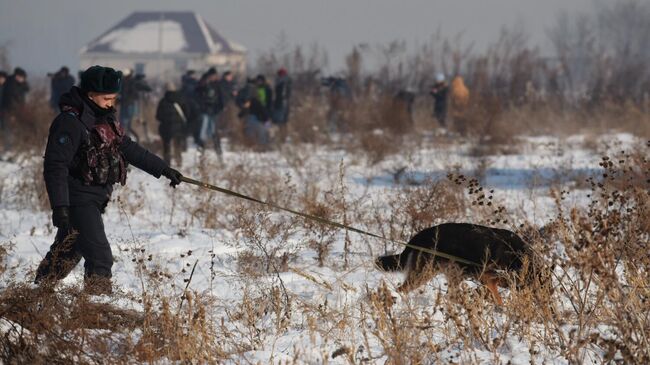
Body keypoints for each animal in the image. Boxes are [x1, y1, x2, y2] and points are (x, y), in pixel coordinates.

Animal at [374, 222, 536, 304]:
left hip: (453, 273)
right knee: (402, 289)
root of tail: (416, 238)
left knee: (451, 295)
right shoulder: (484, 274)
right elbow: (498, 285)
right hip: (424, 274)